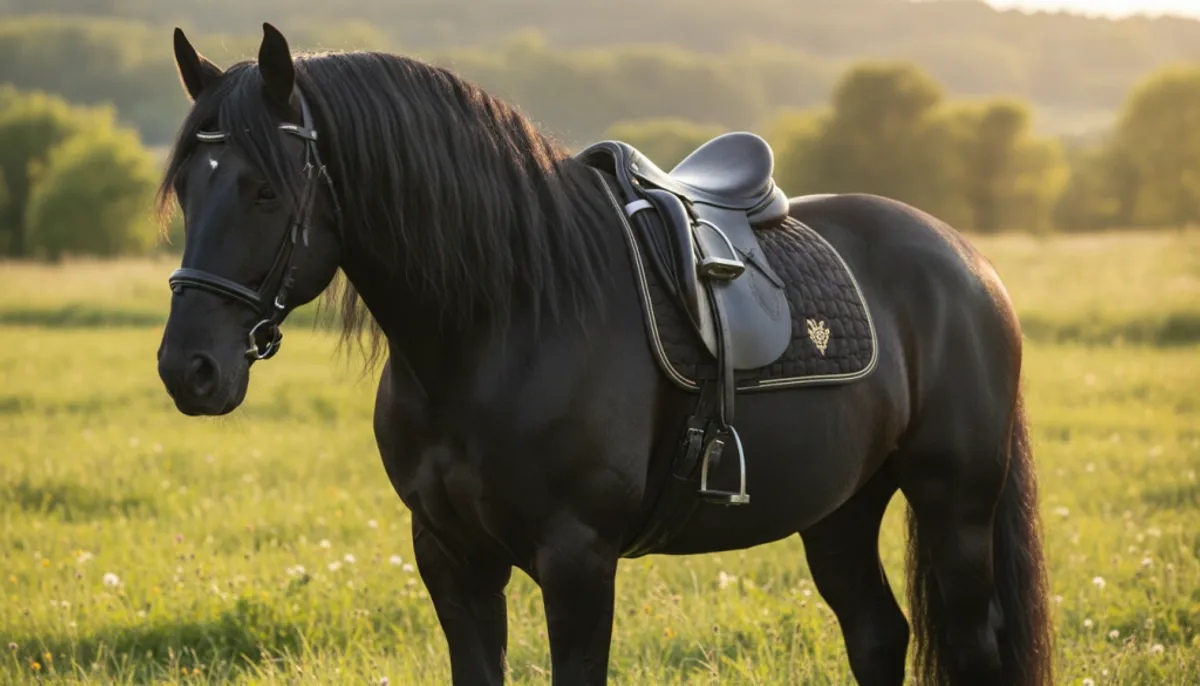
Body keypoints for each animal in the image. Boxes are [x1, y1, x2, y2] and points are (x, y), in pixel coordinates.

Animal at [155, 23, 1053, 686]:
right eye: (189, 187)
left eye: (266, 189)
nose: (187, 369)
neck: (501, 322)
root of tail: (967, 261)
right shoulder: (449, 556)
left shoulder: (578, 559)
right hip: (840, 508)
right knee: (875, 634)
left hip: (954, 505)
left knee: (972, 650)